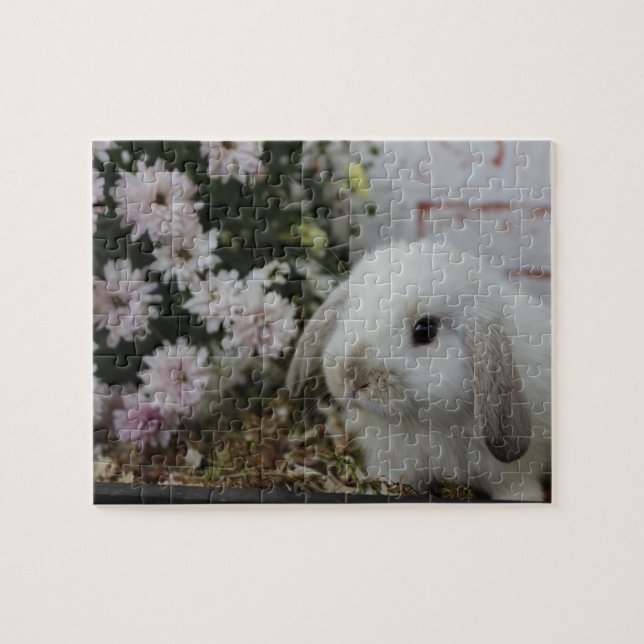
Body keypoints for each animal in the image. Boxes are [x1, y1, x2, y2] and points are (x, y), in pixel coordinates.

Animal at [286, 240, 551, 501]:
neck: (427, 423)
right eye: (350, 311)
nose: (352, 377)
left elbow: (517, 487)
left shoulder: (511, 471)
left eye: (425, 330)